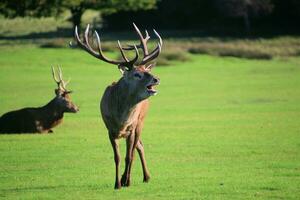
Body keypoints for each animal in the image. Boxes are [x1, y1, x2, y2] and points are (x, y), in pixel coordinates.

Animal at [75, 23, 163, 189]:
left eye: (145, 70)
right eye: (137, 74)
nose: (156, 78)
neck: (122, 119)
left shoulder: (131, 129)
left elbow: (129, 156)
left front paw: (126, 181)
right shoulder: (109, 130)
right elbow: (117, 157)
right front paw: (117, 183)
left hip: (141, 122)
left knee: (137, 148)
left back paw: (143, 177)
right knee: (140, 146)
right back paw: (145, 177)